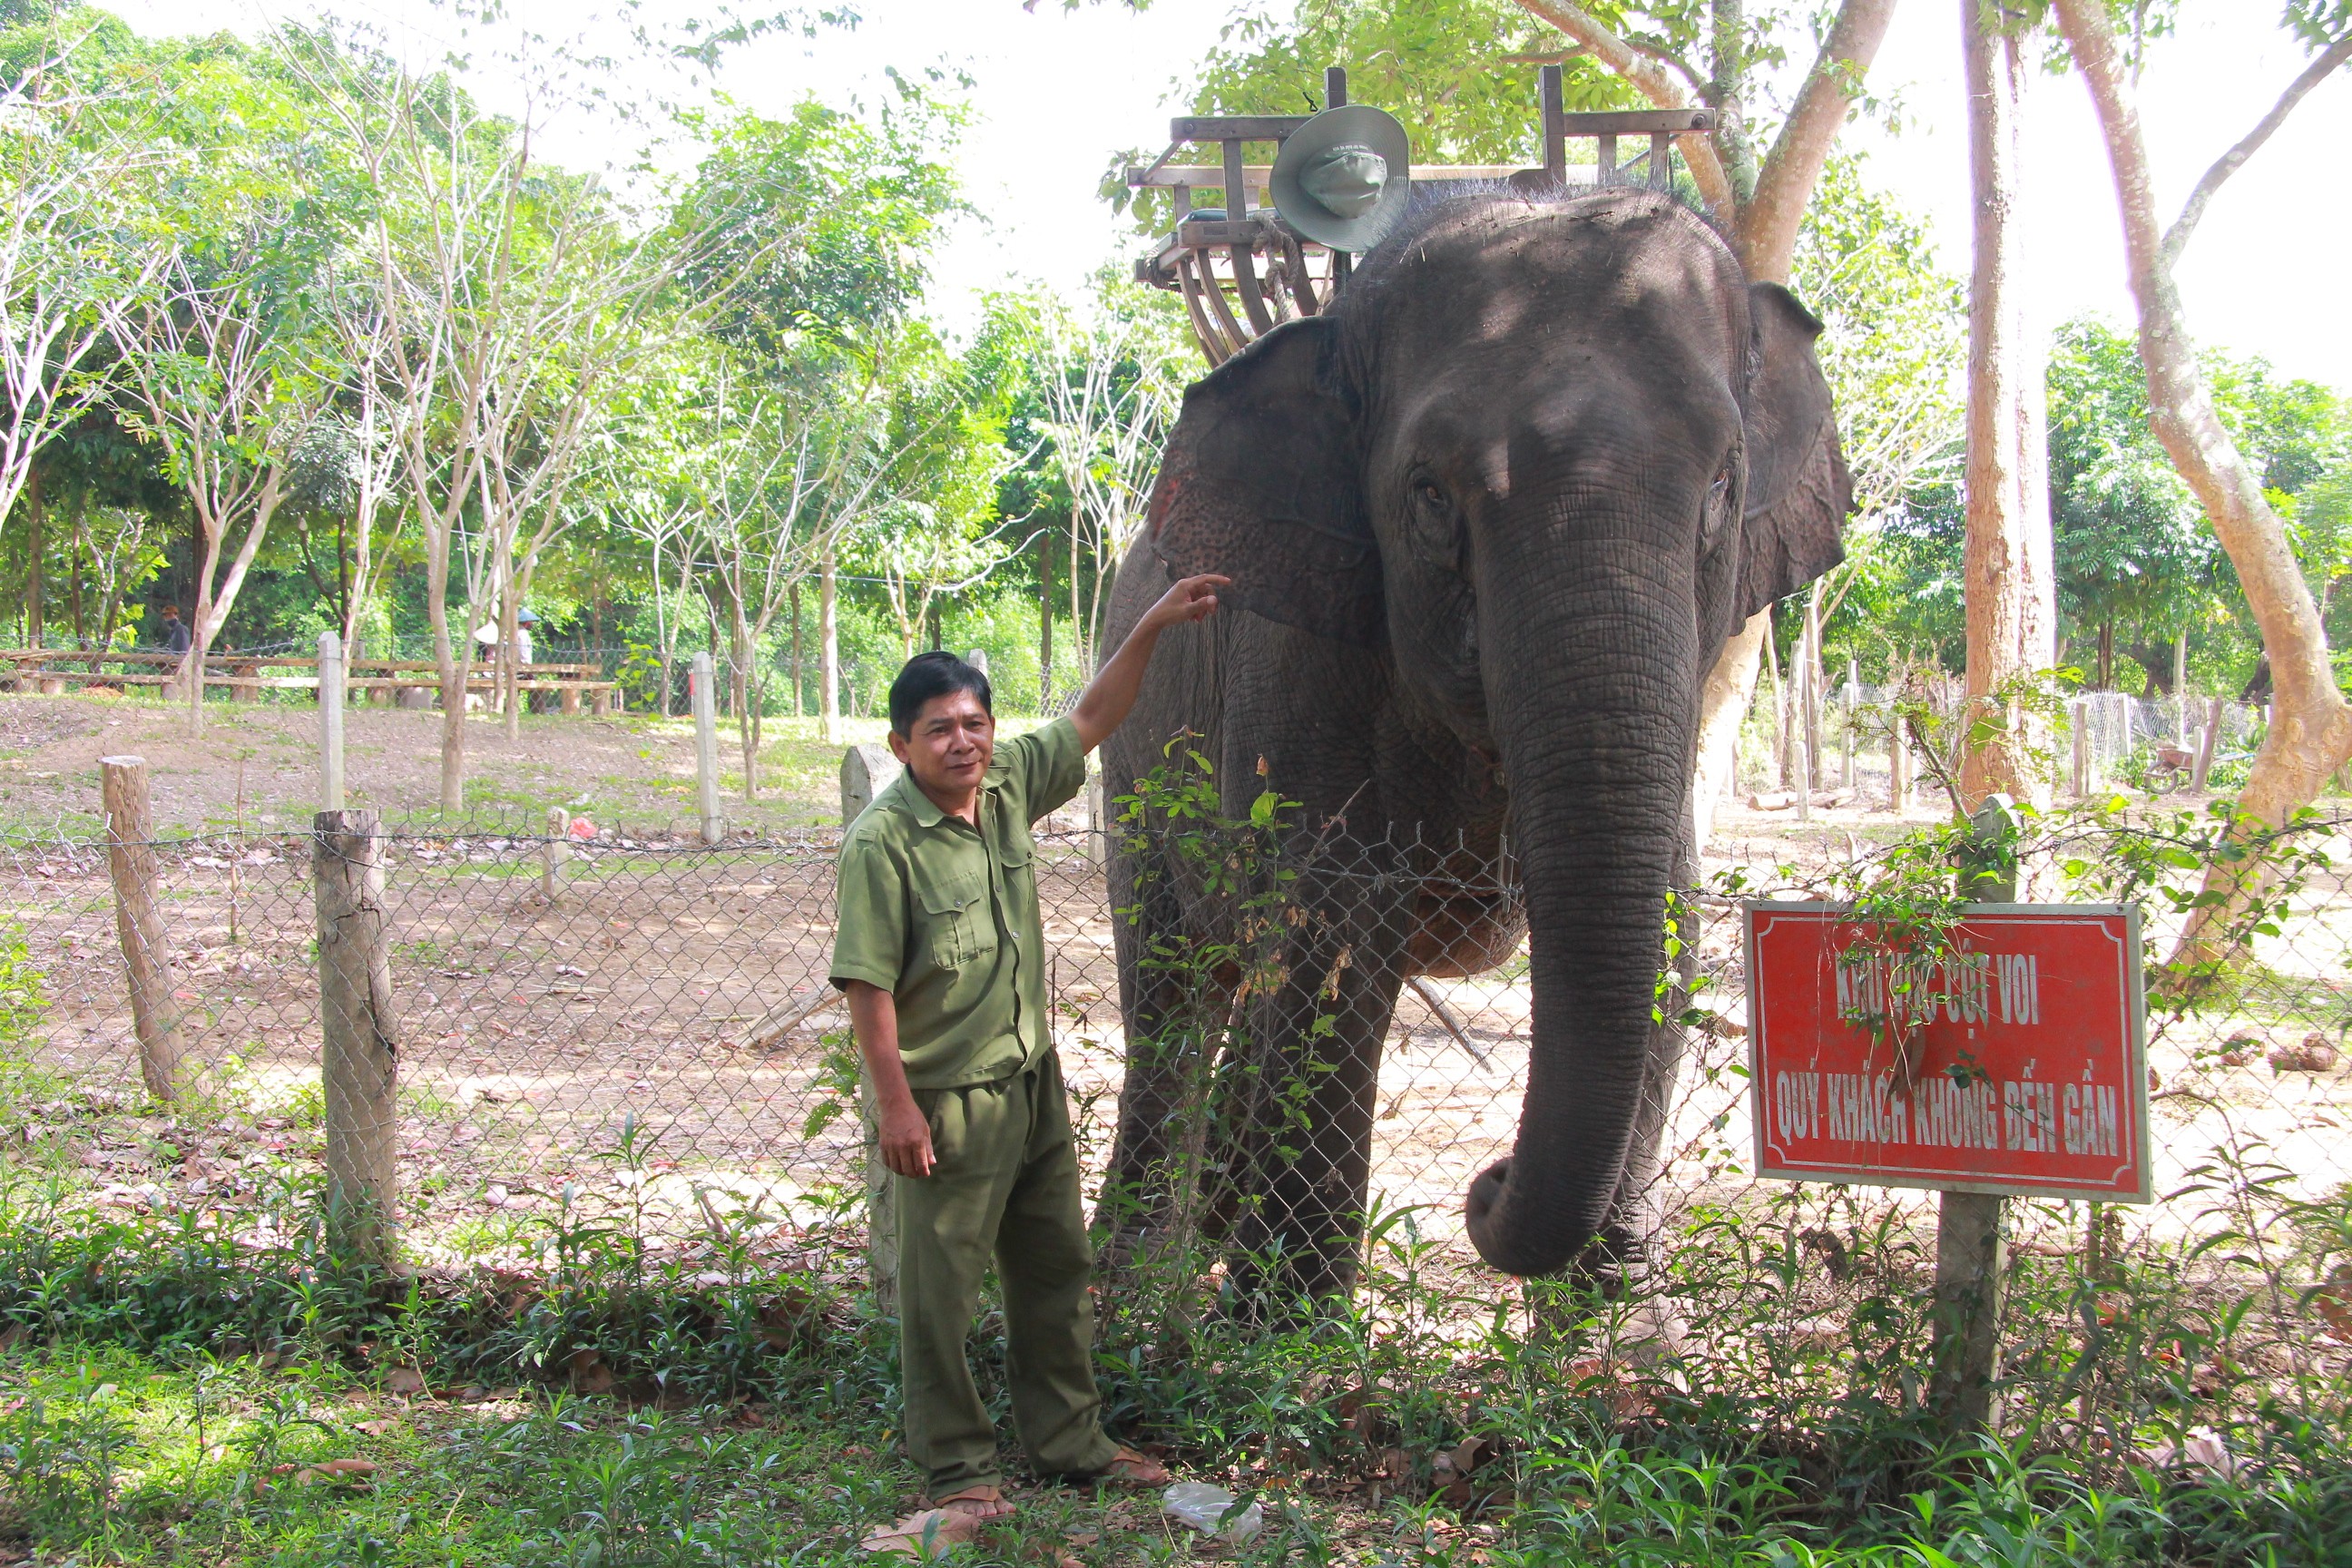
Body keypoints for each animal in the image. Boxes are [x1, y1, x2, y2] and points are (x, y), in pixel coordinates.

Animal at [1091, 190, 1844, 1307]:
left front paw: (1614, 1318)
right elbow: (1335, 914)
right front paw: (1281, 1324)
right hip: (1130, 769)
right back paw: (1140, 1279)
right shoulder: (1295, 645)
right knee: (1180, 988)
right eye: (1431, 494)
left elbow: (1669, 917)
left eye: (1722, 485)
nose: (1485, 1184)